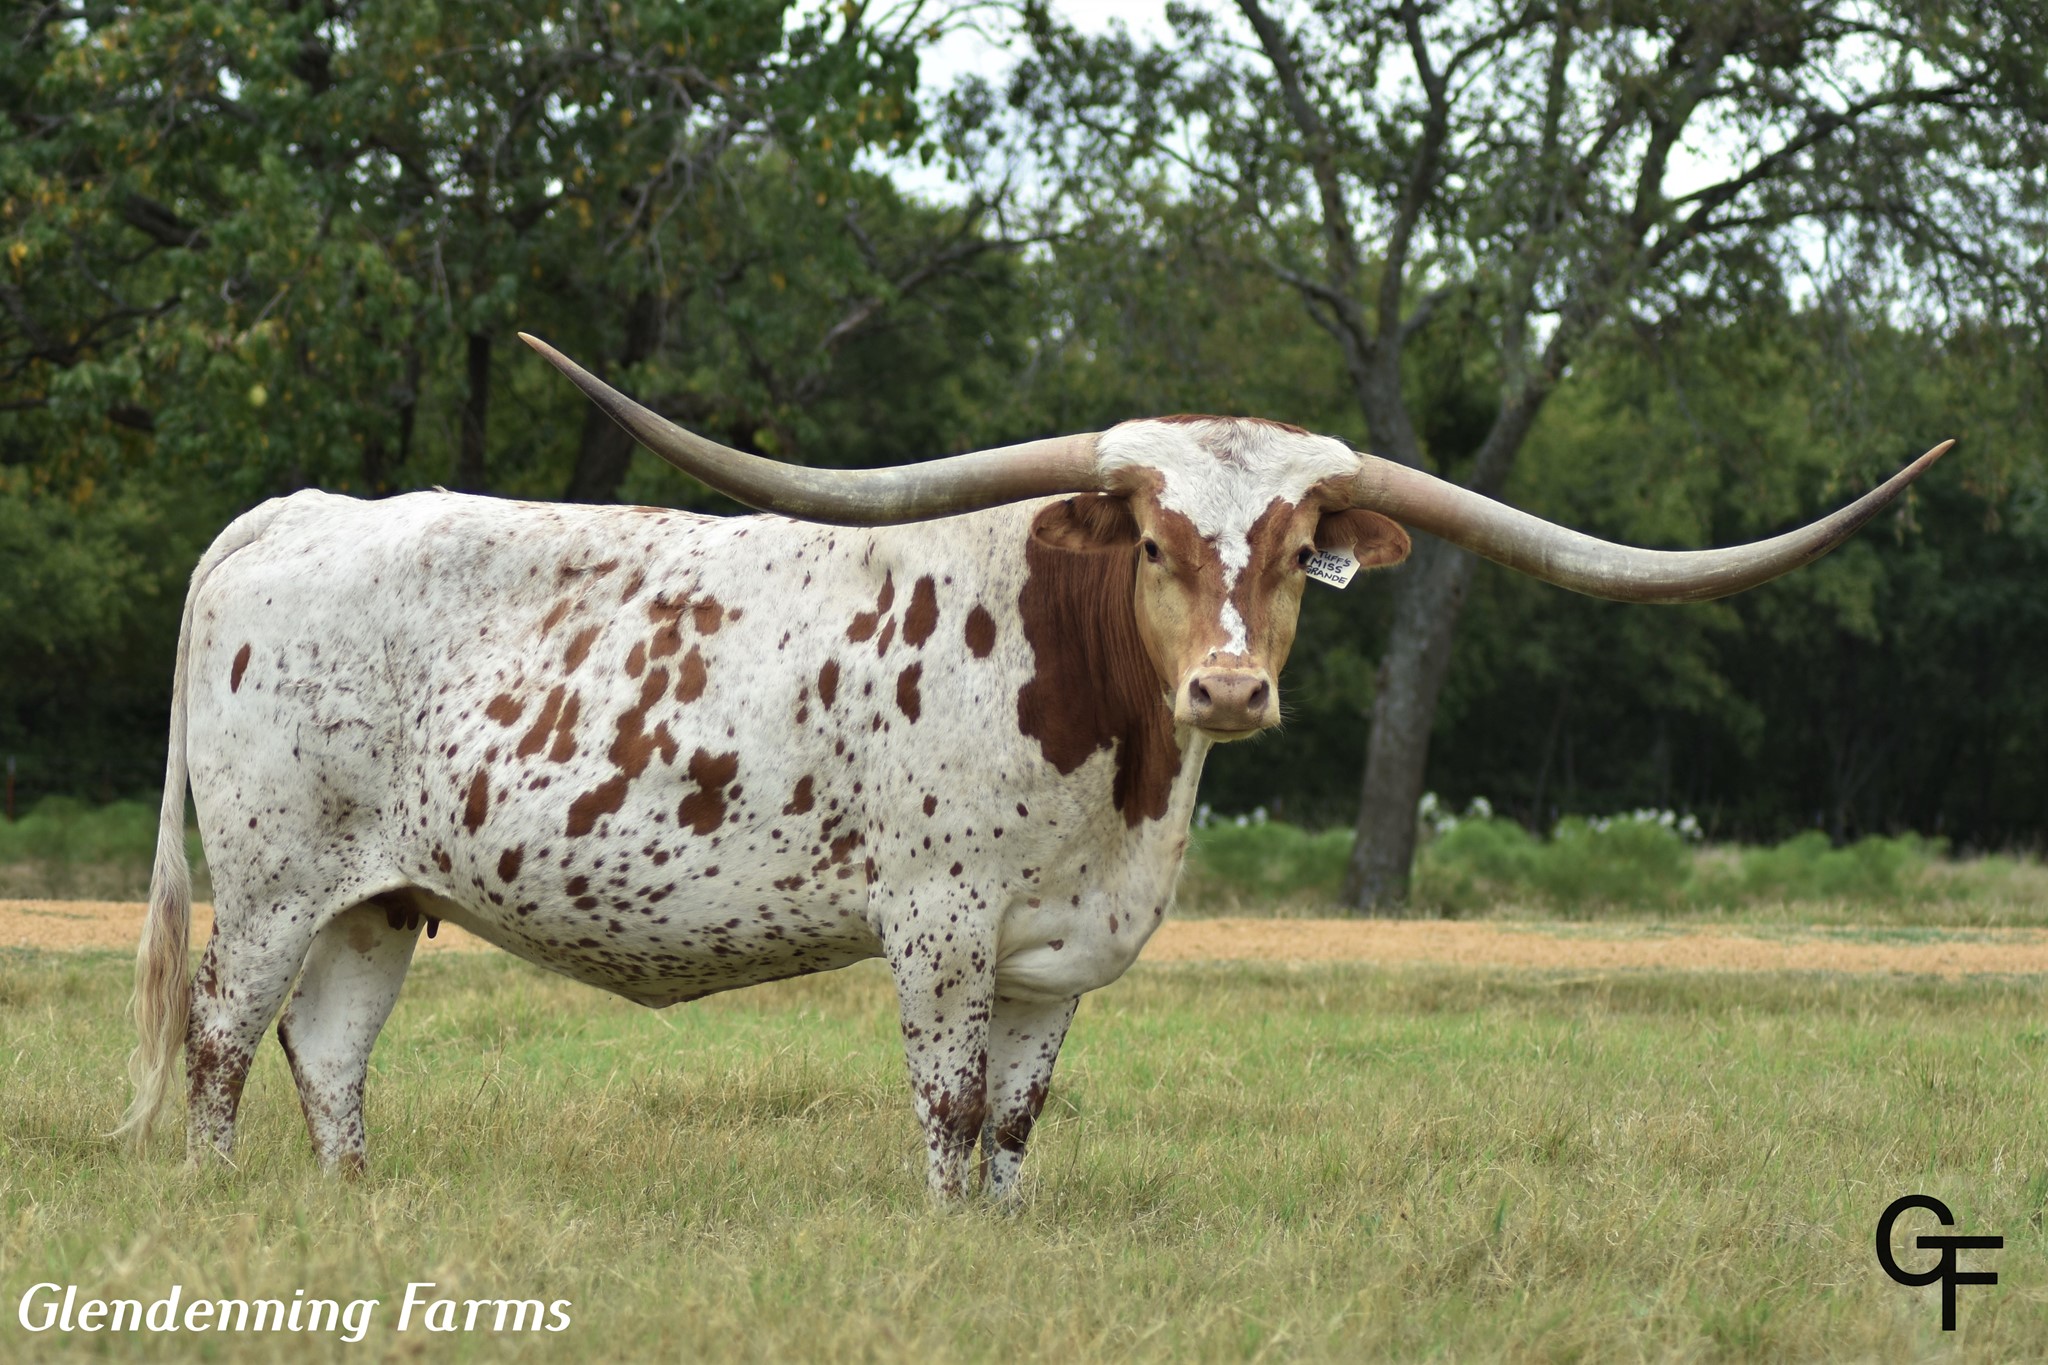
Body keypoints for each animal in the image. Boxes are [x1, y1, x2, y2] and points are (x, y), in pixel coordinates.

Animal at [116, 331, 1950, 1199]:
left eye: (1291, 549)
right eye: (1151, 538)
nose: (1229, 686)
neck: (1114, 772)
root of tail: (293, 510)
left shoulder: (1056, 958)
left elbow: (1013, 1119)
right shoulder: (935, 926)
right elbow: (941, 1113)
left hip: (380, 893)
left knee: (332, 1055)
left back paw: (351, 1199)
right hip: (271, 876)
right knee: (220, 1039)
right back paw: (222, 1196)